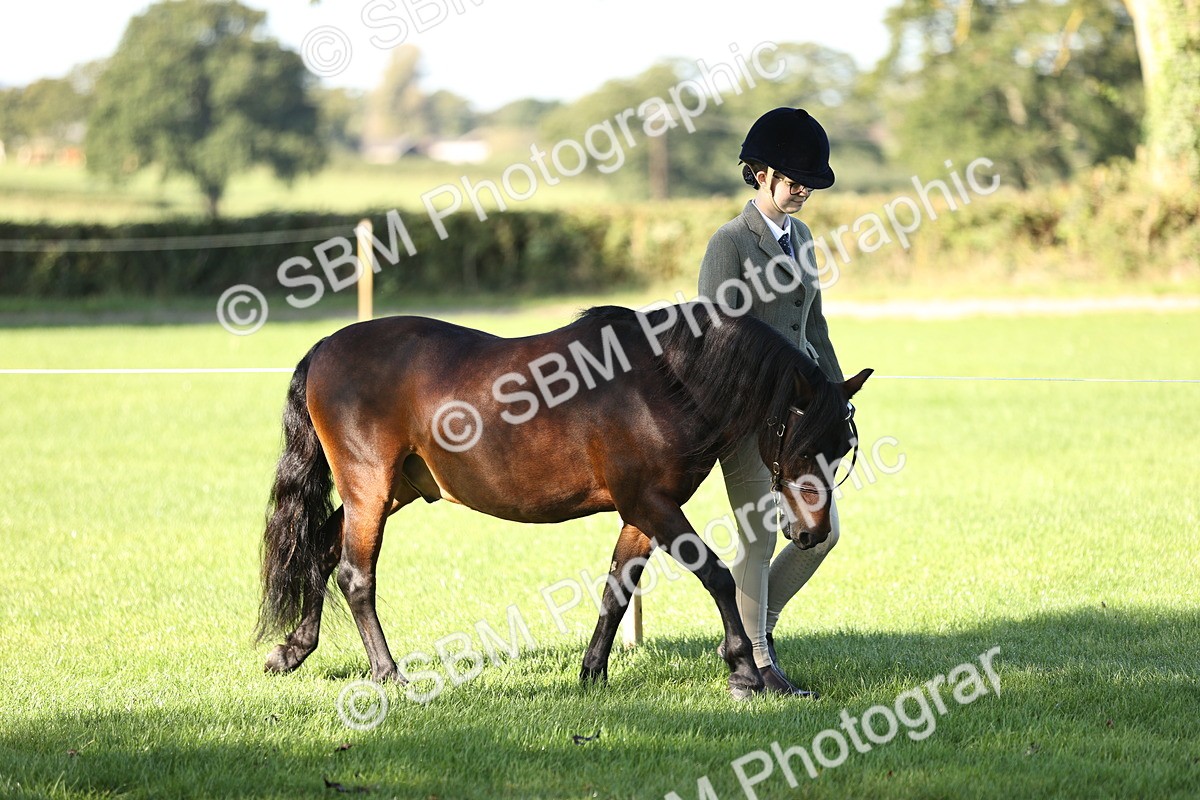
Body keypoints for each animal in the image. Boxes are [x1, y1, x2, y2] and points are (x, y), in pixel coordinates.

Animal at [255, 302, 871, 699]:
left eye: (842, 448)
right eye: (803, 443)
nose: (813, 531)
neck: (664, 381)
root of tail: (325, 347)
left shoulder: (643, 513)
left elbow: (617, 590)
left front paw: (592, 673)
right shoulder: (651, 504)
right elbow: (716, 574)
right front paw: (743, 670)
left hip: (395, 489)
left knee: (319, 549)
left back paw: (294, 649)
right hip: (369, 486)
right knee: (355, 574)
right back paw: (388, 675)